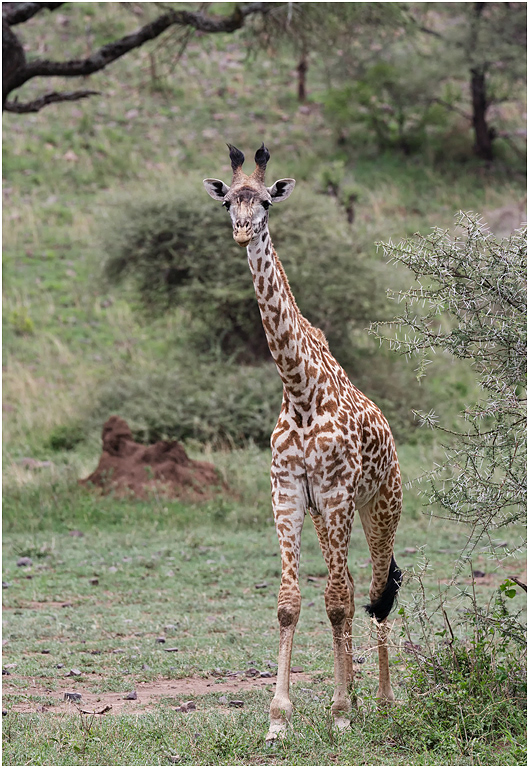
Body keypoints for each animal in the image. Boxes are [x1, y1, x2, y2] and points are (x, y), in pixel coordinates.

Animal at [203, 144, 403, 742]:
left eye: (266, 202)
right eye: (229, 200)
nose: (242, 231)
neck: (299, 387)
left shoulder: (336, 492)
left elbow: (337, 601)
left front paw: (339, 714)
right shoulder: (288, 493)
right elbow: (291, 602)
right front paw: (279, 719)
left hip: (379, 506)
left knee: (375, 591)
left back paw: (382, 700)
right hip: (327, 514)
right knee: (354, 587)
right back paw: (358, 694)